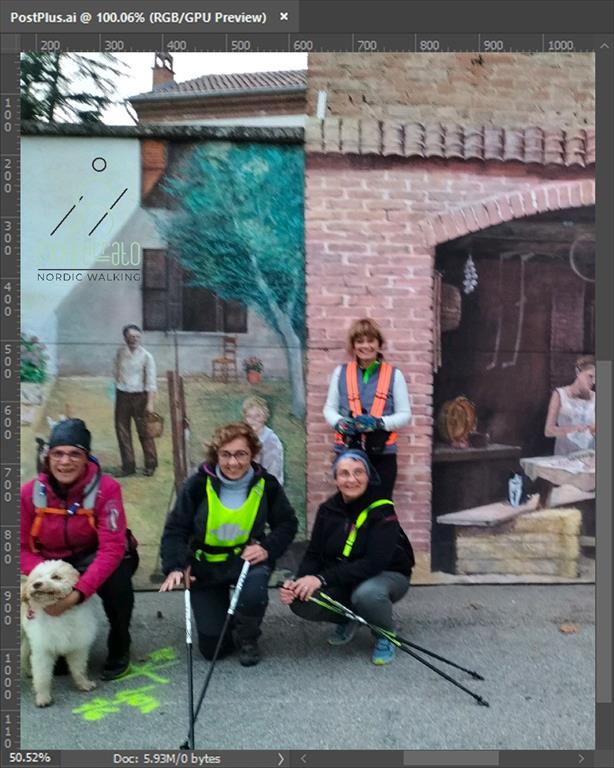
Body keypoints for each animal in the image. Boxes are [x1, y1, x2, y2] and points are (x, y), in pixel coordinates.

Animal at [21, 560, 98, 707]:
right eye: (38, 577)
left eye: (56, 577)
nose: (36, 584)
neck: (60, 616)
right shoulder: (43, 651)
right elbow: (42, 676)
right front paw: (43, 697)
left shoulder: (78, 646)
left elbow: (79, 668)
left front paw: (83, 684)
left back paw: (27, 671)